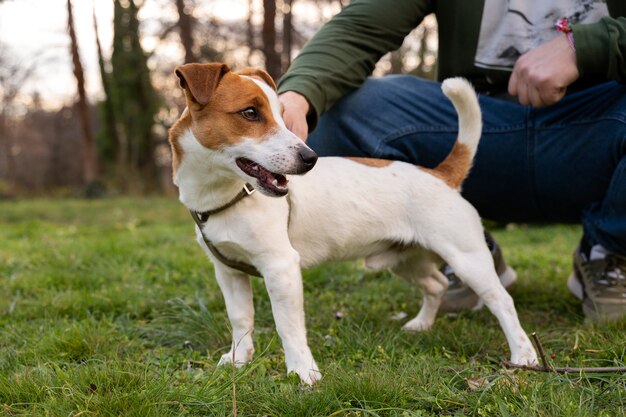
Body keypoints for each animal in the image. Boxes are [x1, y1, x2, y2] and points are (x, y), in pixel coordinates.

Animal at [167, 61, 536, 384]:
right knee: (436, 284)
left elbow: (288, 326)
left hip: (467, 258)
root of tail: (439, 174)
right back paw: (421, 325)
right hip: (405, 259)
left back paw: (524, 356)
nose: (310, 158)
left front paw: (302, 371)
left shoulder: (281, 268)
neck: (227, 195)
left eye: (282, 117)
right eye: (249, 113)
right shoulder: (228, 272)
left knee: (502, 301)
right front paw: (239, 360)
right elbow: (241, 319)